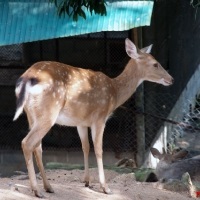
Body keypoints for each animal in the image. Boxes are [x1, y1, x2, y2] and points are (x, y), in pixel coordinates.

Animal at [13, 38, 173, 198]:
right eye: (155, 63)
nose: (171, 79)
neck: (114, 92)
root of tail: (26, 79)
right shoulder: (100, 117)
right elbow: (98, 149)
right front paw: (105, 187)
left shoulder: (81, 122)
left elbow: (86, 147)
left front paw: (87, 181)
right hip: (48, 112)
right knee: (27, 143)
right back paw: (37, 190)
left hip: (31, 115)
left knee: (37, 146)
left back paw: (48, 187)